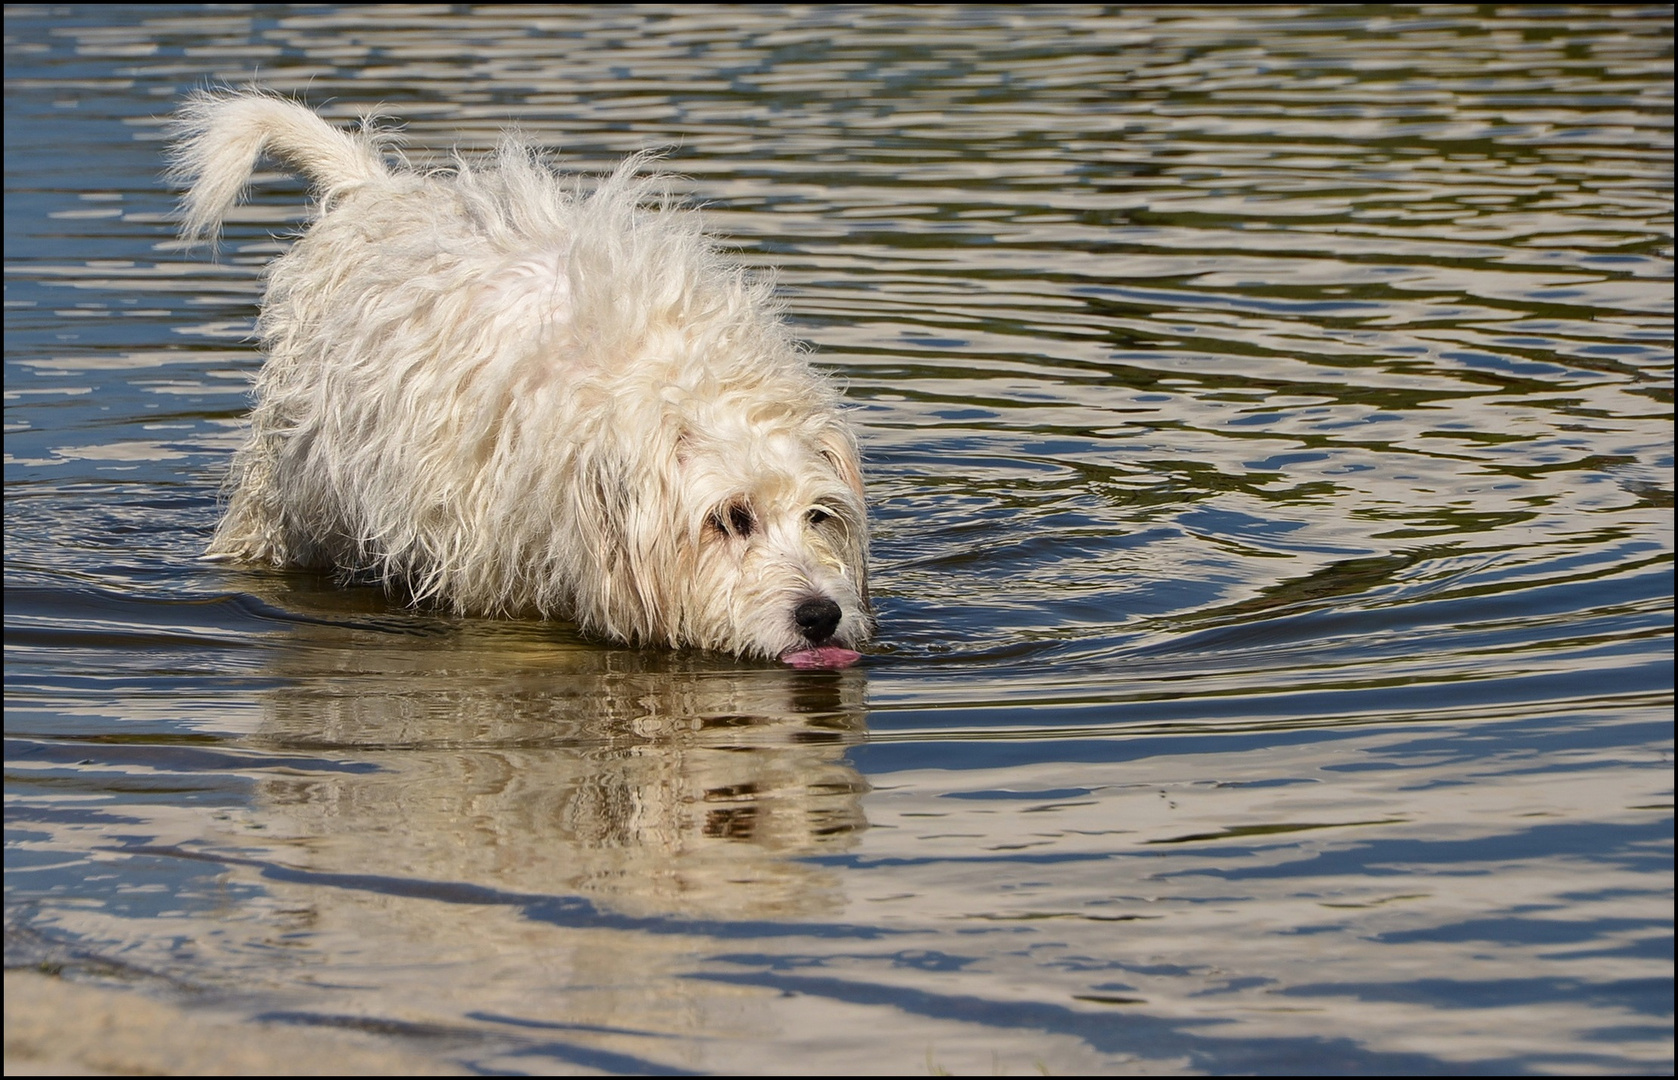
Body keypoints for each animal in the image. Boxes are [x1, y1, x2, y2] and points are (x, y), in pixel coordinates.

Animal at [170, 90, 872, 667]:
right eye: (730, 518)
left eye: (818, 515)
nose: (820, 615)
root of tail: (376, 190)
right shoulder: (494, 559)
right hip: (285, 487)